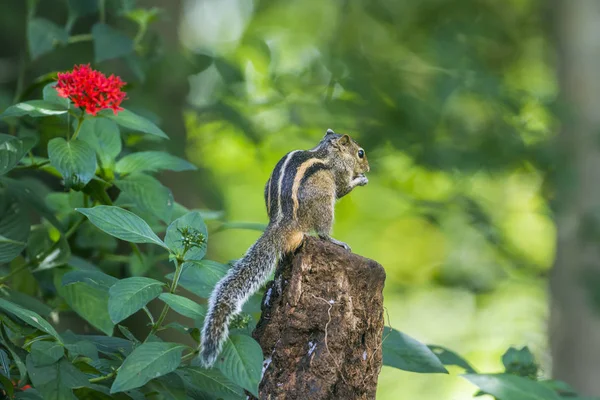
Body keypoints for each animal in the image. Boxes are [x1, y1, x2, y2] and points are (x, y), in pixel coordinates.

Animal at [199, 128, 368, 366]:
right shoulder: (339, 173)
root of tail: (282, 221)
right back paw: (336, 241)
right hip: (324, 202)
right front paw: (361, 179)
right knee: (323, 232)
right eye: (360, 153)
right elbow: (344, 187)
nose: (368, 168)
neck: (327, 150)